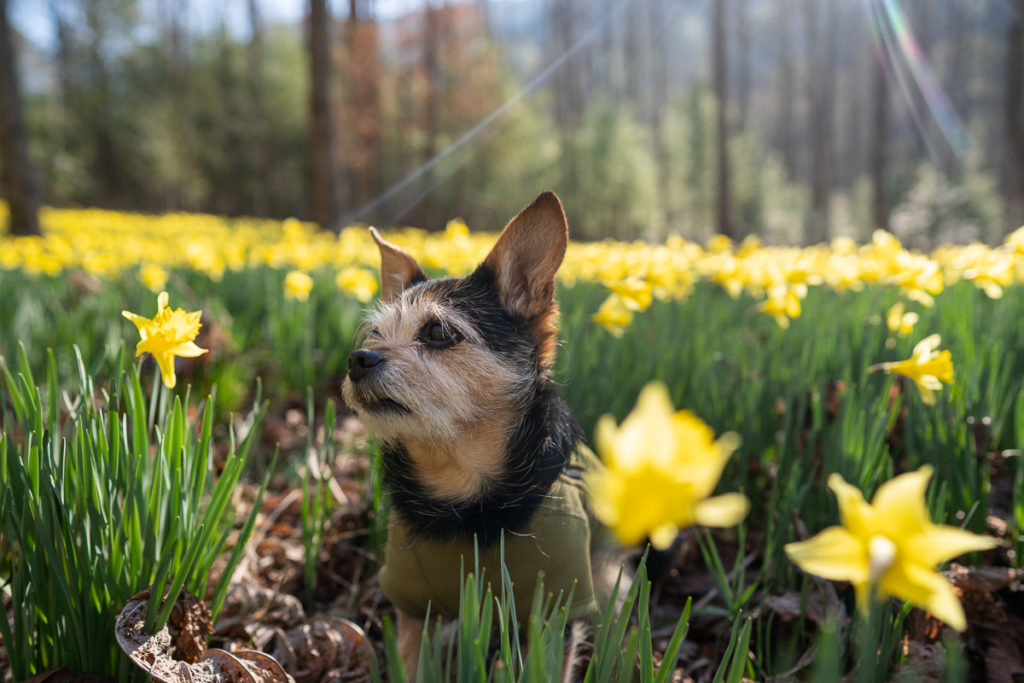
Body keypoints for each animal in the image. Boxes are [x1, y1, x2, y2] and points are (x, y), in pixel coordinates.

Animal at [344, 191, 598, 679]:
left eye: (439, 331)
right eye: (376, 334)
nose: (358, 359)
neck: (460, 485)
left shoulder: (559, 606)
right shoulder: (410, 601)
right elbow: (411, 665)